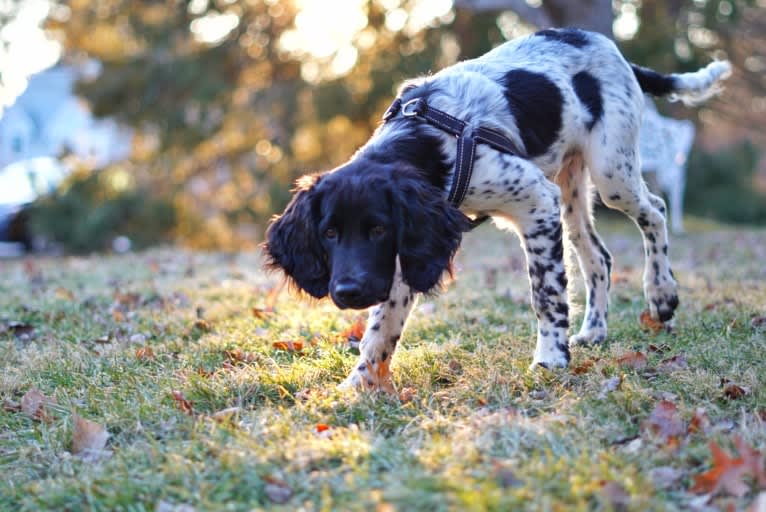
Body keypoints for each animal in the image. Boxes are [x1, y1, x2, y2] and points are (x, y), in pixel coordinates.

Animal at [264, 29, 732, 392]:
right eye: (329, 233)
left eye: (377, 229)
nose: (347, 292)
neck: (429, 141)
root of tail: (614, 50)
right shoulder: (410, 251)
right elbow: (383, 324)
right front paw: (360, 381)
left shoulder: (535, 202)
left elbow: (545, 292)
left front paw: (551, 359)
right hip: (571, 190)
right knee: (597, 256)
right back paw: (594, 330)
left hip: (611, 171)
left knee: (656, 210)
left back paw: (662, 293)